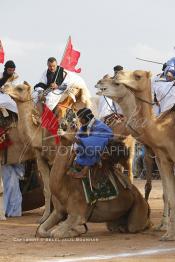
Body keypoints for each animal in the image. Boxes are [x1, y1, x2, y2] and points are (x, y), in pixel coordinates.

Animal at [3, 81, 91, 221]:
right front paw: (44, 217)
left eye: (20, 88)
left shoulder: (55, 157)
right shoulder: (40, 159)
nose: (4, 87)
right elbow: (47, 188)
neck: (40, 134)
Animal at [36, 111, 150, 239]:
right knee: (114, 225)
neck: (65, 186)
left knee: (135, 226)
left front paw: (73, 231)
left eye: (74, 125)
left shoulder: (78, 214)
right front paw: (73, 231)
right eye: (62, 122)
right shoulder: (58, 212)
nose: (62, 125)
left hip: (138, 209)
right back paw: (120, 227)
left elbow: (56, 233)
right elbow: (41, 230)